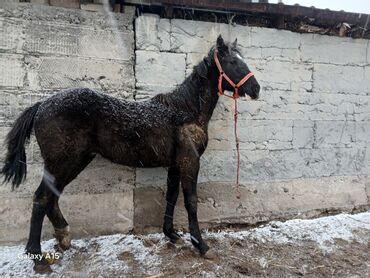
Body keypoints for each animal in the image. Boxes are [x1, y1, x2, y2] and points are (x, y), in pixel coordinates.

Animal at [0, 35, 260, 274]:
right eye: (233, 62)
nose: (256, 89)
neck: (185, 111)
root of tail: (41, 105)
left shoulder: (175, 164)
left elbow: (172, 196)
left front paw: (171, 234)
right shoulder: (189, 162)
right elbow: (191, 201)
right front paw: (202, 246)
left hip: (74, 161)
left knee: (52, 196)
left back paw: (63, 237)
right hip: (62, 162)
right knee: (41, 198)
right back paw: (39, 258)